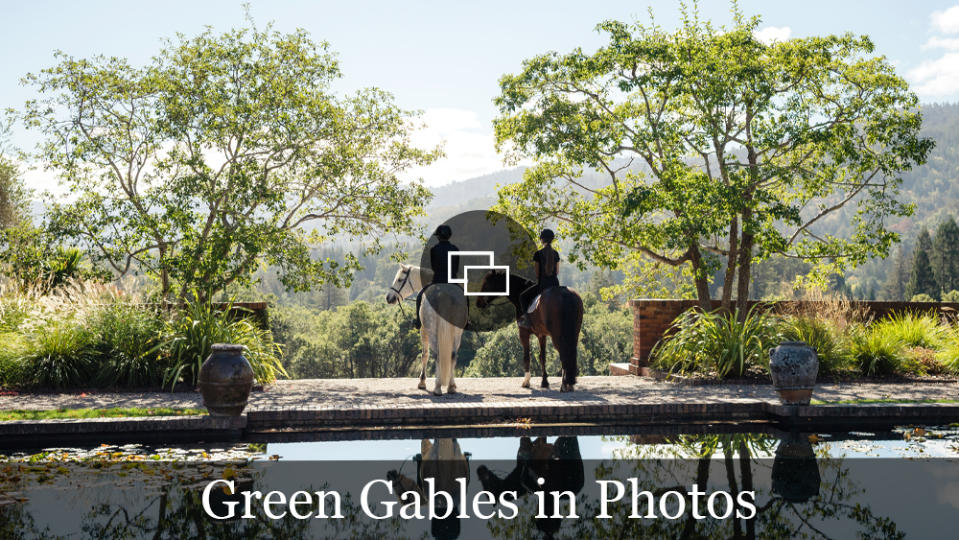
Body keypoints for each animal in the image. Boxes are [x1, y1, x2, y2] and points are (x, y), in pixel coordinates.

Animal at [386, 264, 468, 394]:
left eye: (399, 279)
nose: (389, 297)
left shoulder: (423, 330)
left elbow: (424, 355)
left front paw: (422, 382)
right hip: (457, 333)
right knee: (453, 355)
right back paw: (451, 387)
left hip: (431, 330)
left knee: (437, 355)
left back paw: (437, 387)